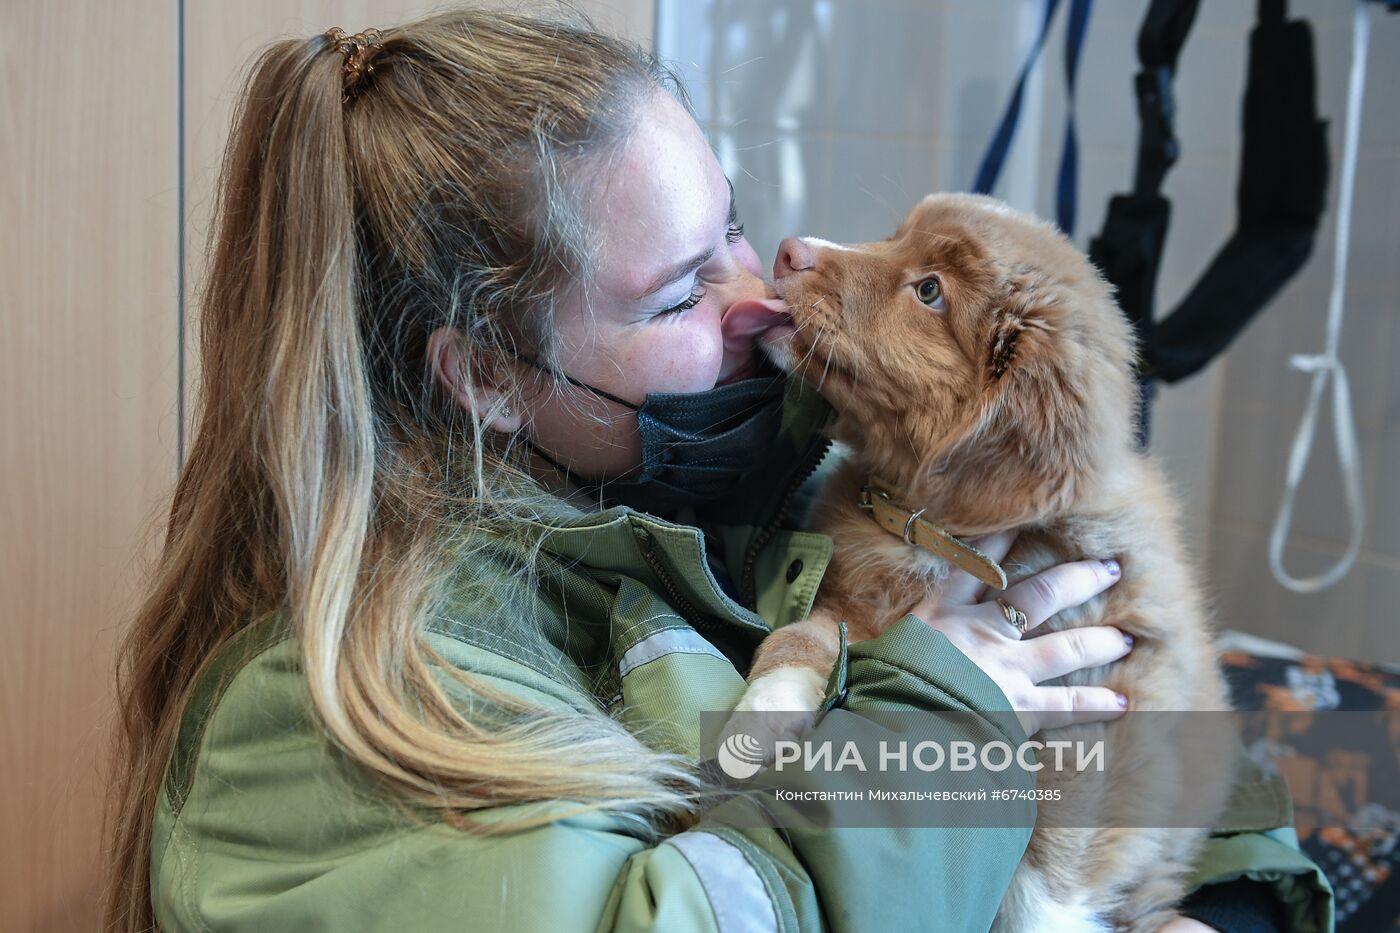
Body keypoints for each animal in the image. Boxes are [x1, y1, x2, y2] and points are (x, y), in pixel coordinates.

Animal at [739, 191, 1232, 924]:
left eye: (930, 291)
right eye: (895, 236)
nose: (790, 250)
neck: (927, 528)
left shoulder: (1107, 717)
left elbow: (1043, 870)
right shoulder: (851, 598)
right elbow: (805, 632)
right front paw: (761, 711)